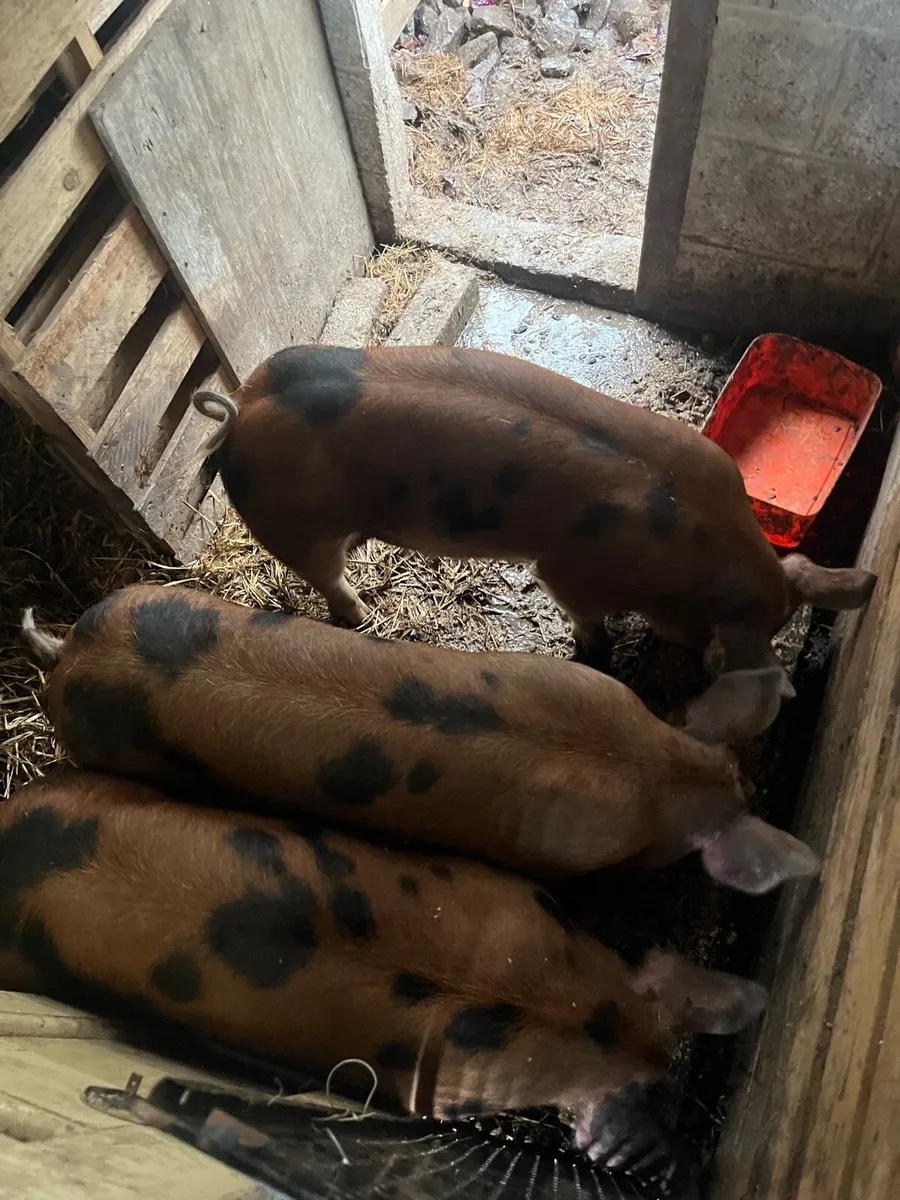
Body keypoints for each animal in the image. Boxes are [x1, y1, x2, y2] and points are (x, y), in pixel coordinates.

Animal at [191, 345, 875, 699]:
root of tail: (241, 409)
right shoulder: (570, 571)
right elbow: (586, 618)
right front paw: (595, 654)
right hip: (295, 529)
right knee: (327, 579)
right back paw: (361, 617)